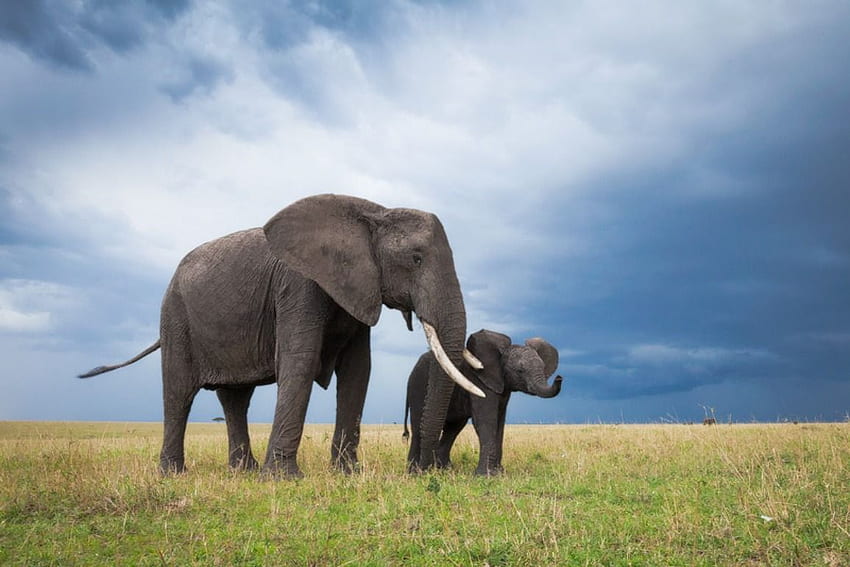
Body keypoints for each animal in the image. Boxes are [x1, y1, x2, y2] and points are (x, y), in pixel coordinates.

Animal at [81, 193, 484, 478]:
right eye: (416, 259)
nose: (422, 470)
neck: (374, 213)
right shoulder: (298, 284)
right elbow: (301, 360)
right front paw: (284, 478)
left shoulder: (358, 288)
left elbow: (358, 371)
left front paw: (347, 474)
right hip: (175, 314)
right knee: (179, 392)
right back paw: (173, 475)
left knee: (235, 398)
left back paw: (243, 472)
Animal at [406, 328, 564, 474]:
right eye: (520, 371)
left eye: (543, 367)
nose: (559, 377)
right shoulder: (480, 380)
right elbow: (486, 421)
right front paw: (486, 475)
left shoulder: (503, 388)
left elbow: (499, 423)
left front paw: (499, 472)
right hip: (418, 385)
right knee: (418, 425)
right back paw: (413, 472)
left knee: (453, 428)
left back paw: (445, 470)